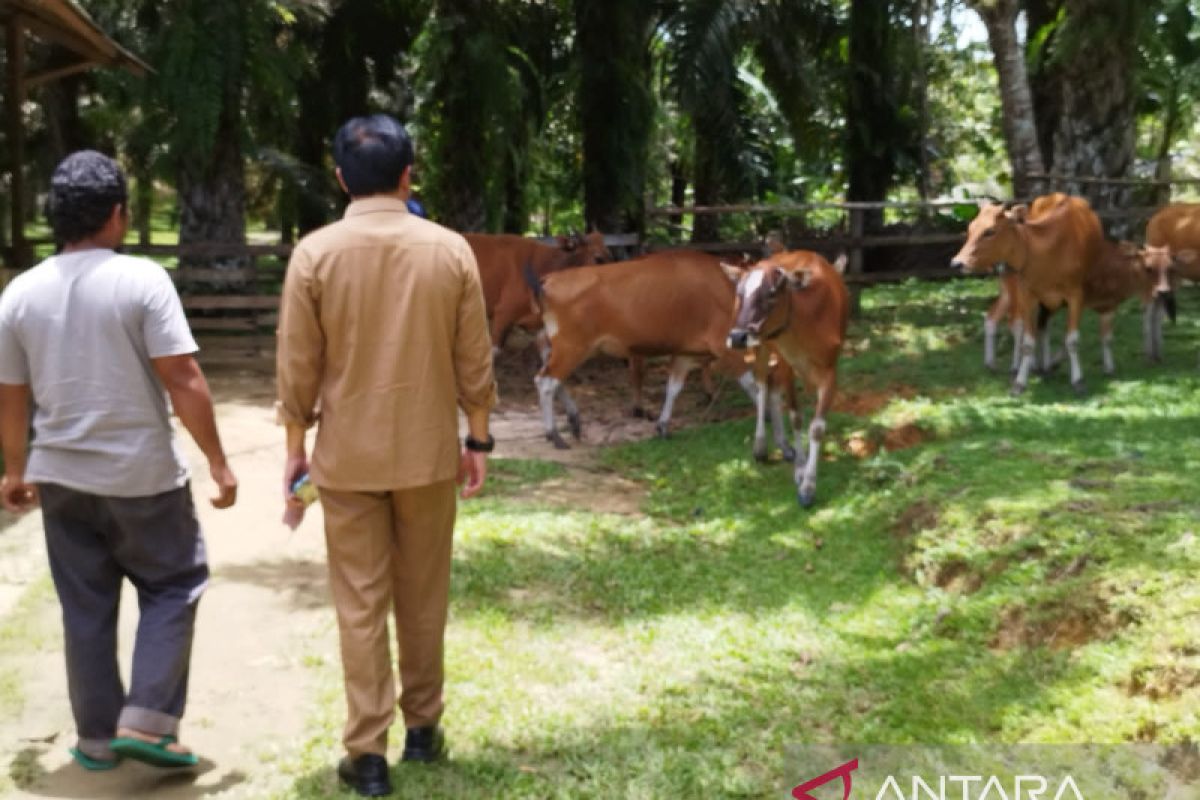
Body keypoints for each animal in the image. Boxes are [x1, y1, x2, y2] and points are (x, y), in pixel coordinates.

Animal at [720, 248, 854, 506]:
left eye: (772, 294)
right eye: (740, 293)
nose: (737, 337)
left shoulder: (831, 369)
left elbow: (817, 427)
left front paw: (808, 487)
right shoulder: (787, 363)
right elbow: (796, 417)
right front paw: (801, 472)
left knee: (771, 387)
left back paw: (784, 446)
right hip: (762, 347)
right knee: (763, 384)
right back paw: (761, 447)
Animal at [950, 197, 1099, 398]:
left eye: (990, 231)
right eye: (970, 228)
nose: (957, 263)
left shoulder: (1076, 295)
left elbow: (1072, 340)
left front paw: (1078, 381)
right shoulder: (1027, 295)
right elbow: (1028, 342)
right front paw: (1019, 383)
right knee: (1020, 324)